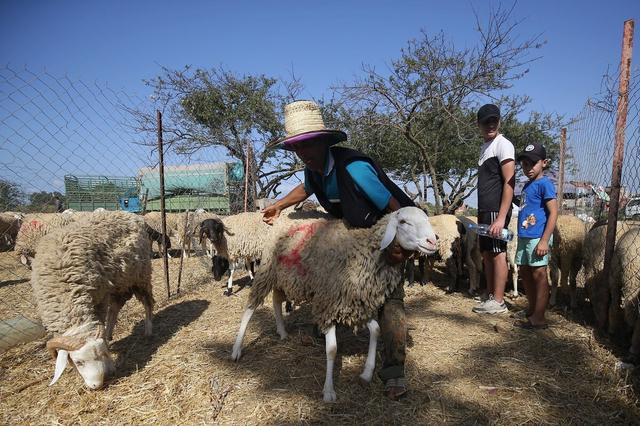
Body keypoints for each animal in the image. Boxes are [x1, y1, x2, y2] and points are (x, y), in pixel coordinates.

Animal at [31, 211, 155, 392]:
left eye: (102, 354)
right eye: (78, 362)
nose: (97, 385)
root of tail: (129, 214)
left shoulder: (99, 296)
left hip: (140, 274)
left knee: (147, 302)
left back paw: (148, 330)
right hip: (117, 281)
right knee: (116, 306)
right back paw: (110, 333)